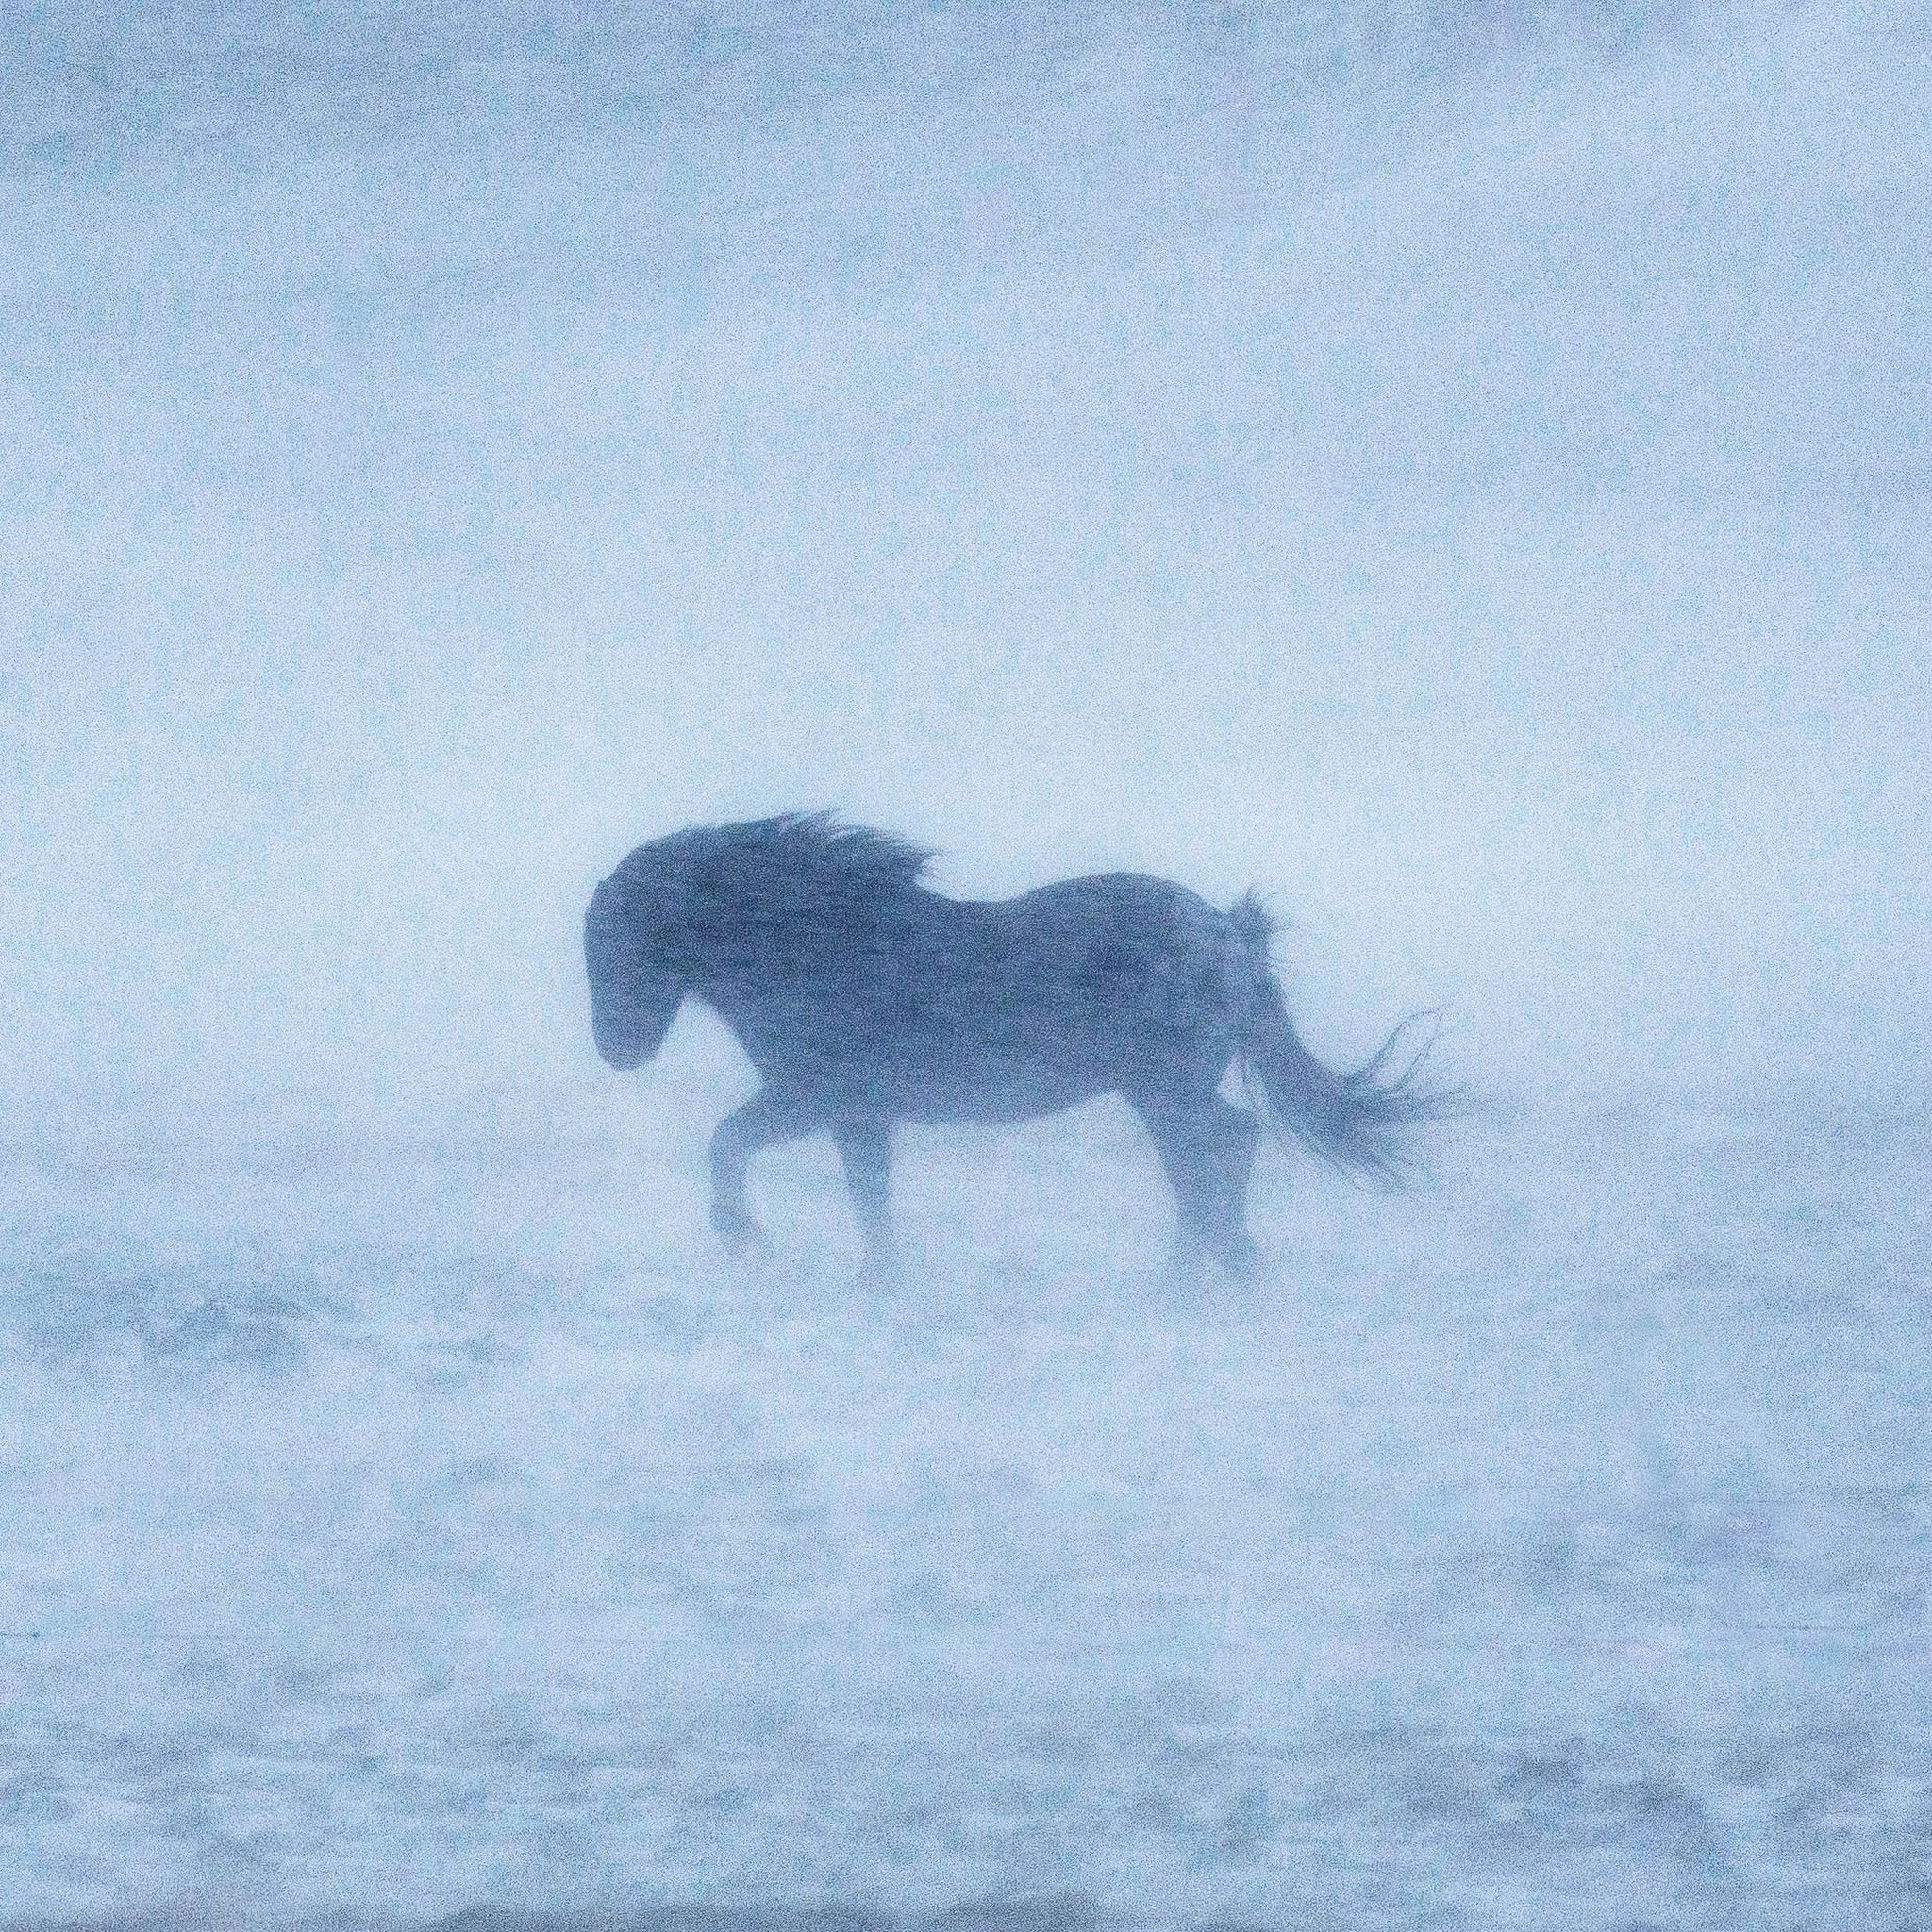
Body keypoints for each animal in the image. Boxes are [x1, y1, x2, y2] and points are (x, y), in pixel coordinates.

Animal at [584, 813, 1450, 1282]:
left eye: (620, 946)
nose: (617, 1052)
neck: (817, 944)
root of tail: (1224, 934)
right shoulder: (858, 1112)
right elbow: (870, 1197)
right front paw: (878, 1282)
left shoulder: (817, 1095)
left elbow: (728, 1142)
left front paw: (744, 1240)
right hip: (1160, 1092)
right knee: (1219, 1155)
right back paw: (1208, 1271)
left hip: (1166, 1091)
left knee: (1217, 1155)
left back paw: (1204, 1273)